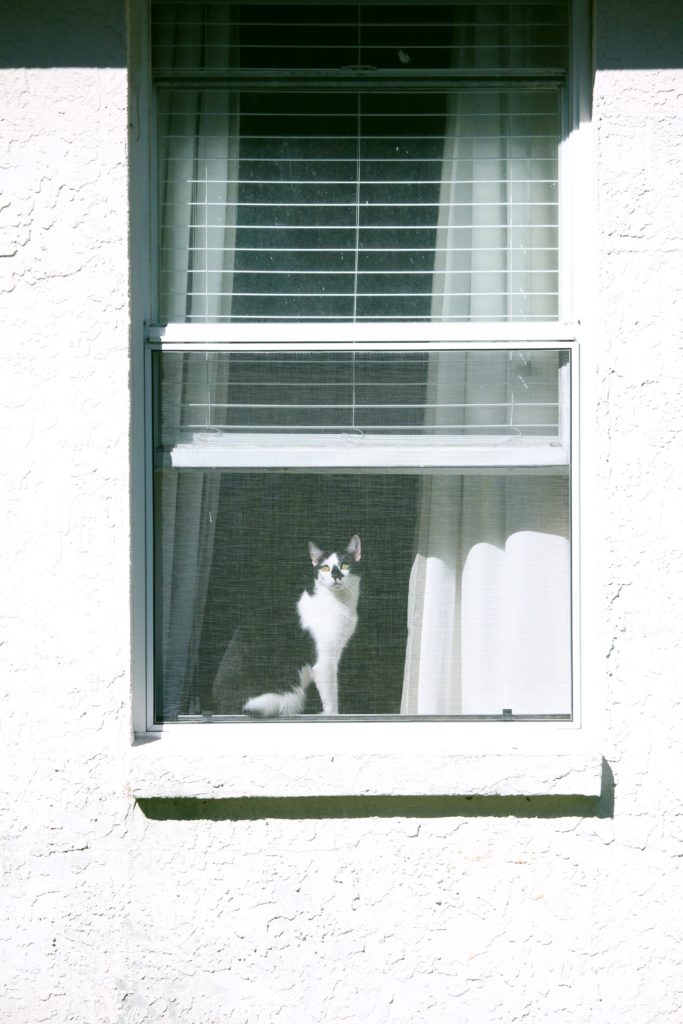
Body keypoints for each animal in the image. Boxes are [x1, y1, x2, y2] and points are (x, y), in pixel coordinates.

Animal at [211, 536, 362, 720]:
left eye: (345, 565)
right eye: (325, 567)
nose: (336, 575)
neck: (341, 604)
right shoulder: (324, 661)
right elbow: (331, 696)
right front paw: (332, 716)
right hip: (285, 698)